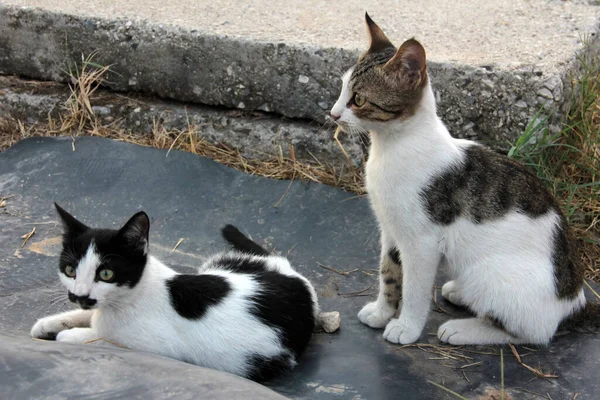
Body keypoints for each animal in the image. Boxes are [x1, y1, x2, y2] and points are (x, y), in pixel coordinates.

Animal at [31, 205, 318, 380]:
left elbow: (100, 338)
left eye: (106, 274)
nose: (80, 295)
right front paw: (48, 324)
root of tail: (296, 278)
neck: (134, 295)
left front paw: (69, 336)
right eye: (70, 270)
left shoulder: (161, 349)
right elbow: (86, 317)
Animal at [330, 12, 596, 344]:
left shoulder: (422, 242)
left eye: (358, 99)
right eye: (342, 89)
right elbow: (389, 272)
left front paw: (407, 327)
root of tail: (573, 303)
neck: (392, 146)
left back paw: (461, 328)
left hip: (496, 276)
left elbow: (414, 288)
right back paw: (460, 292)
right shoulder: (390, 230)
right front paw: (381, 312)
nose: (332, 114)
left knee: (529, 333)